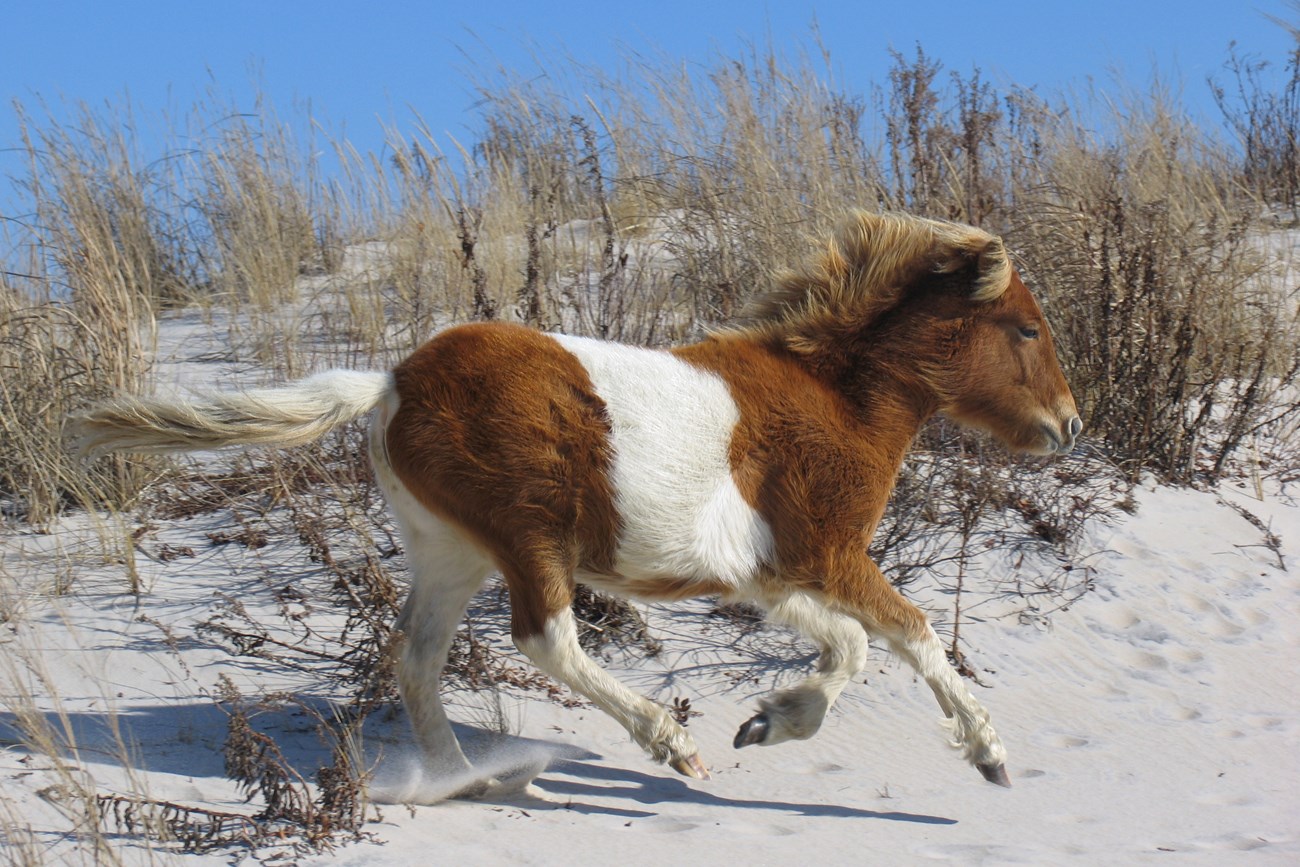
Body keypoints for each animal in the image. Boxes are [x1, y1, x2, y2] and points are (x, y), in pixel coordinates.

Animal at [74, 210, 1081, 794]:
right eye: (1026, 329)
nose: (1070, 425)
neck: (836, 399)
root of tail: (392, 381)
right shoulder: (828, 556)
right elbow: (908, 635)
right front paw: (989, 754)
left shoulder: (770, 573)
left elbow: (851, 646)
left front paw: (771, 720)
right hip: (528, 534)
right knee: (545, 640)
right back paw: (666, 743)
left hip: (452, 550)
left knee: (417, 658)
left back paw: (459, 778)